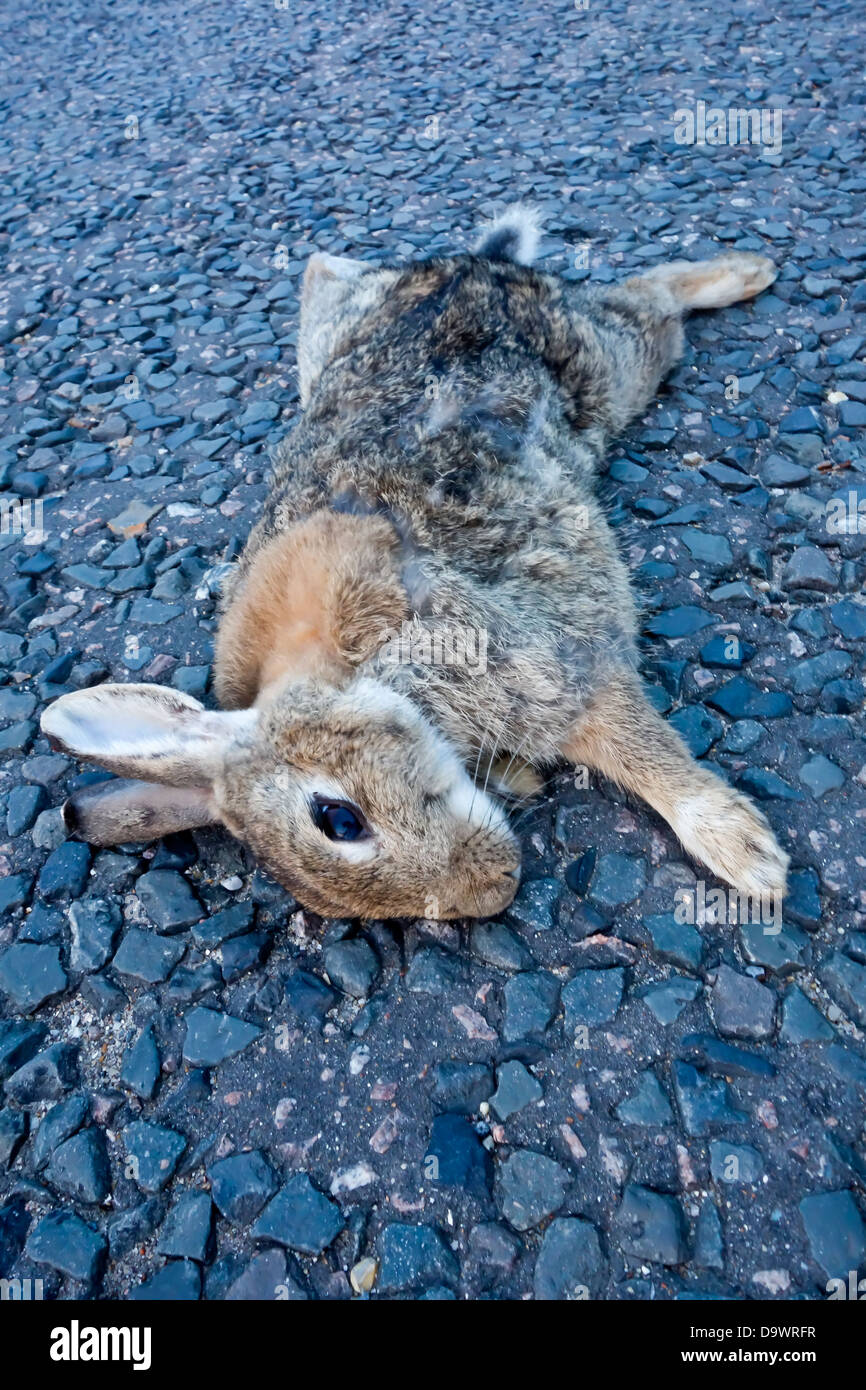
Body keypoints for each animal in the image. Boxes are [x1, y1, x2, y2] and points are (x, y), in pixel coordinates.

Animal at [41, 205, 789, 921]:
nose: (498, 887)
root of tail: (470, 265)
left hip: (607, 363)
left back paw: (752, 271)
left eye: (337, 818)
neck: (357, 674)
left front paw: (751, 858)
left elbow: (643, 752)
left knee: (648, 298)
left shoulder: (546, 665)